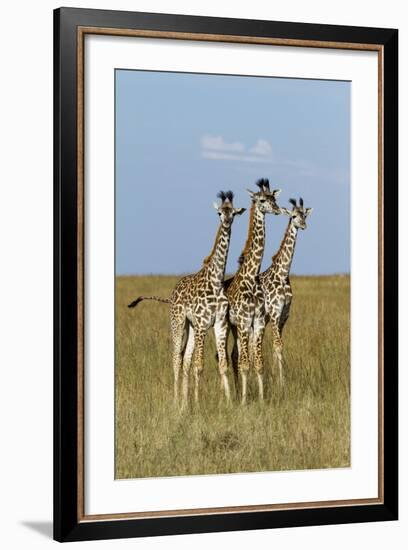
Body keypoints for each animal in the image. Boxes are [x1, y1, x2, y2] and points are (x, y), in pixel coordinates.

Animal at [127, 192, 244, 408]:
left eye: (233, 212)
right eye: (219, 212)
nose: (226, 221)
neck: (216, 280)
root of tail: (172, 293)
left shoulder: (219, 323)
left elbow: (221, 364)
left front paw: (228, 403)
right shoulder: (202, 324)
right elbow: (200, 365)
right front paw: (197, 404)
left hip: (190, 326)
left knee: (184, 360)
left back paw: (184, 401)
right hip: (178, 322)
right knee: (176, 359)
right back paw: (176, 401)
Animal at [225, 181, 282, 406]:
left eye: (274, 199)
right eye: (262, 200)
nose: (277, 210)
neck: (251, 276)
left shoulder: (256, 321)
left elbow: (258, 362)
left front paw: (261, 399)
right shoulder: (243, 320)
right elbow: (246, 363)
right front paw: (243, 402)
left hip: (236, 328)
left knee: (234, 355)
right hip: (228, 325)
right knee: (226, 356)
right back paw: (231, 394)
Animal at [260, 196, 314, 386]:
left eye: (305, 214)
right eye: (293, 216)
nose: (304, 225)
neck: (283, 274)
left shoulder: (284, 314)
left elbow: (277, 344)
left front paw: (275, 377)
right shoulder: (275, 312)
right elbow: (278, 345)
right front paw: (282, 382)